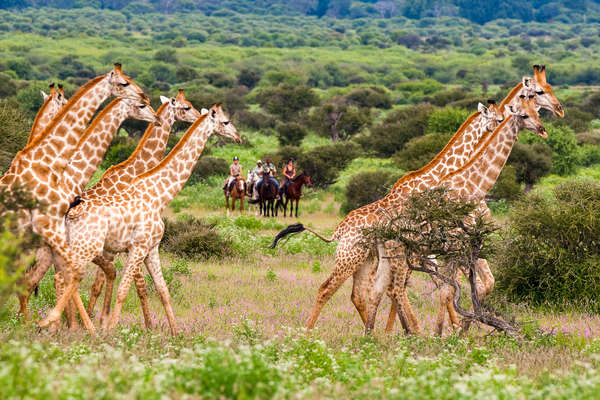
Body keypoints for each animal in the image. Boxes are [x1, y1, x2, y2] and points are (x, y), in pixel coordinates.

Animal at [52, 104, 239, 334]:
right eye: (225, 121)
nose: (238, 137)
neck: (157, 195)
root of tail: (69, 214)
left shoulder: (152, 249)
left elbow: (163, 290)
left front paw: (175, 334)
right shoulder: (138, 247)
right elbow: (125, 289)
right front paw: (112, 330)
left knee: (65, 277)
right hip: (86, 247)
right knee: (67, 277)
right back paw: (66, 326)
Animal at [380, 94, 548, 334]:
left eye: (538, 112)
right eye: (524, 115)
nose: (542, 130)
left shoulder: (469, 243)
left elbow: (474, 284)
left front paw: (460, 328)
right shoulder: (456, 244)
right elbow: (451, 289)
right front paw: (446, 332)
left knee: (394, 288)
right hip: (405, 252)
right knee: (395, 288)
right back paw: (405, 332)